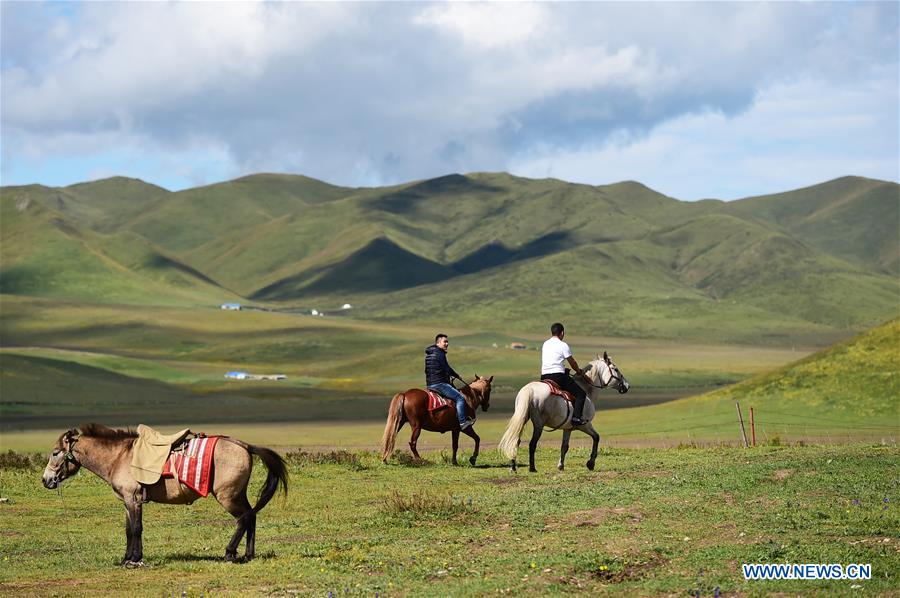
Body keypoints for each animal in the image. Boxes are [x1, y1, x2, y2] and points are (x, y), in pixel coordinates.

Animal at [41, 426, 288, 568]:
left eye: (55, 453)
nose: (46, 480)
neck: (119, 457)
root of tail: (243, 445)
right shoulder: (126, 502)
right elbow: (129, 530)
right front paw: (127, 558)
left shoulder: (133, 499)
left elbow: (136, 529)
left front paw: (134, 560)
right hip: (237, 494)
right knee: (251, 516)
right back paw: (248, 555)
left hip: (227, 496)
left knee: (244, 518)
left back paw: (229, 554)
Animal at [496, 352, 628, 474]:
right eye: (616, 369)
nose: (626, 385)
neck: (587, 389)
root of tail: (529, 389)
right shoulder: (585, 425)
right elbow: (596, 437)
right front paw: (590, 463)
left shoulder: (567, 428)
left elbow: (564, 446)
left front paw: (561, 465)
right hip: (538, 424)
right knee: (532, 444)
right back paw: (532, 468)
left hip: (523, 419)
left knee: (515, 441)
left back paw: (513, 467)